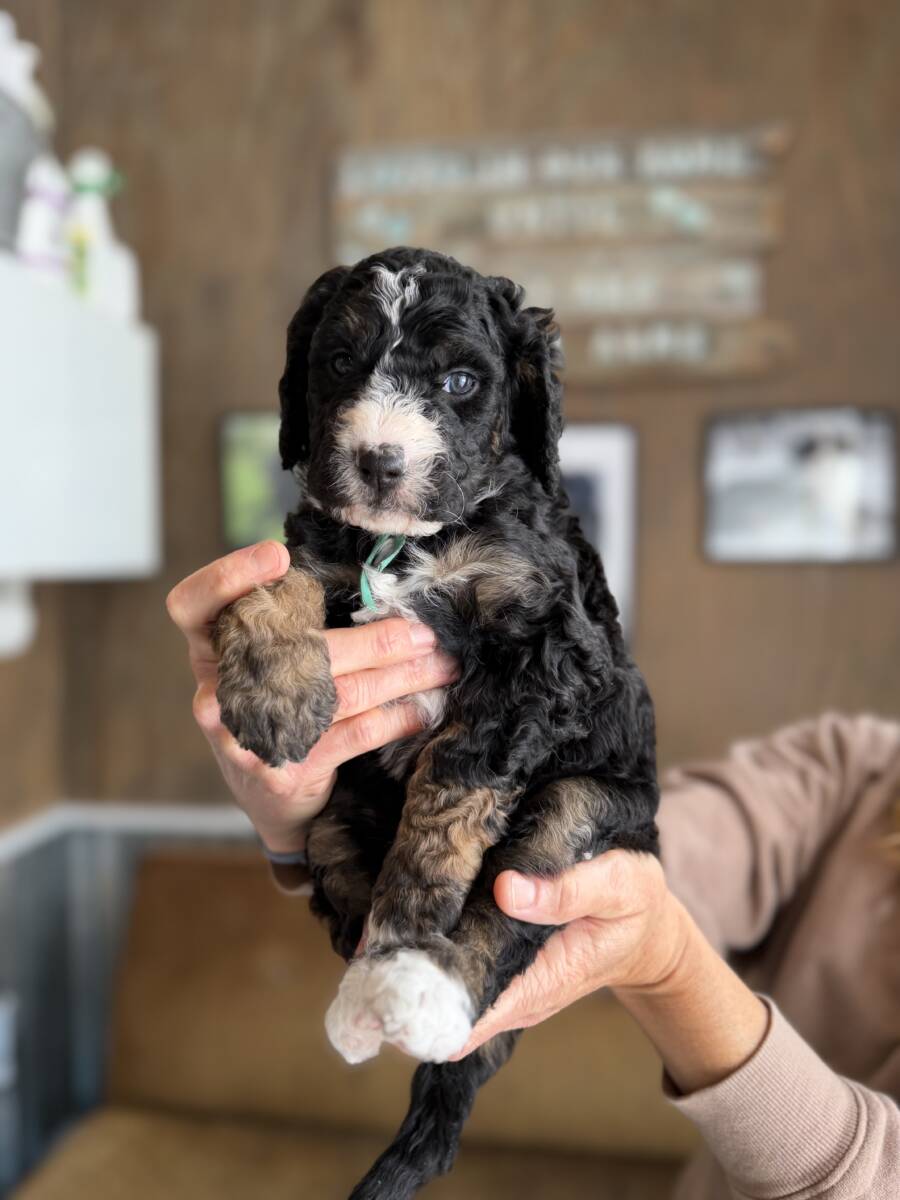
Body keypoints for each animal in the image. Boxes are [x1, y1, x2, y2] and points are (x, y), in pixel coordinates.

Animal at [214, 247, 659, 1199]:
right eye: (339, 364)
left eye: (460, 381)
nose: (379, 460)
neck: (412, 541)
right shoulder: (327, 544)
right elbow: (278, 570)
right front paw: (272, 687)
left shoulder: (544, 657)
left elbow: (449, 805)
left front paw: (417, 923)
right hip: (332, 821)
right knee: (344, 873)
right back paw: (362, 995)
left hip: (593, 802)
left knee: (514, 892)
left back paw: (418, 981)